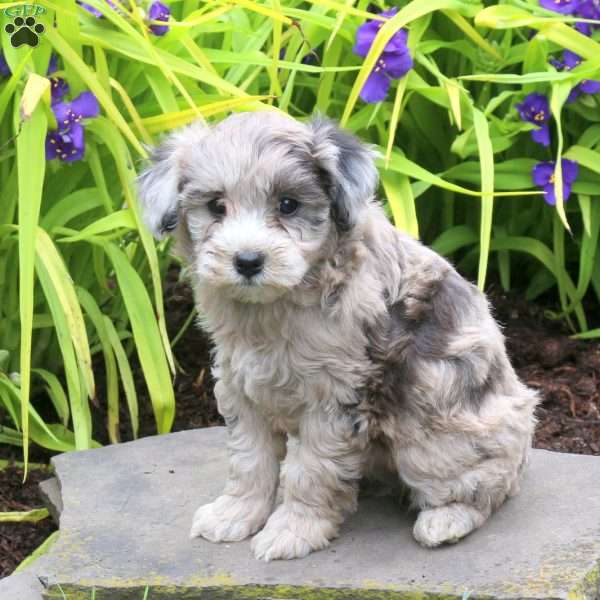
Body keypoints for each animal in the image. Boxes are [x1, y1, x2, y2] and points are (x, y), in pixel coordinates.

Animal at [137, 111, 540, 564]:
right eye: (216, 206)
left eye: (288, 204)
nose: (248, 261)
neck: (273, 308)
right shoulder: (240, 384)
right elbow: (249, 460)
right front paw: (235, 514)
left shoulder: (334, 397)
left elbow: (311, 469)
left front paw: (293, 530)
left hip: (434, 433)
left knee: (488, 484)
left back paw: (445, 520)